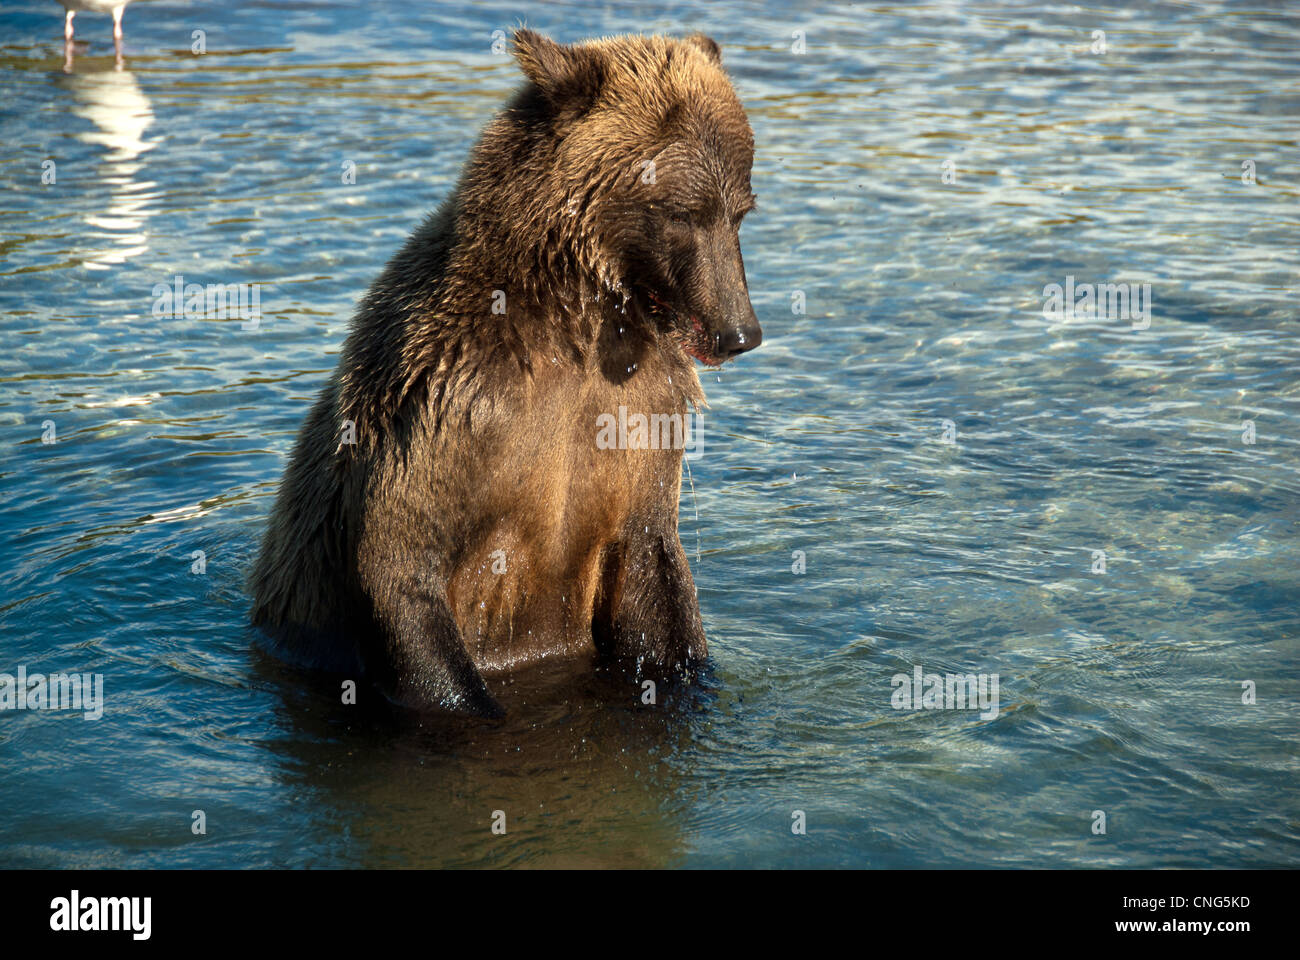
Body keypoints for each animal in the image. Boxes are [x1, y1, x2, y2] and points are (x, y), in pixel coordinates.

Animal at [248, 29, 759, 712]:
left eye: (740, 211)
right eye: (681, 211)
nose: (739, 333)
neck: (579, 319)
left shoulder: (640, 418)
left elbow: (653, 573)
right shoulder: (449, 404)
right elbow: (399, 563)